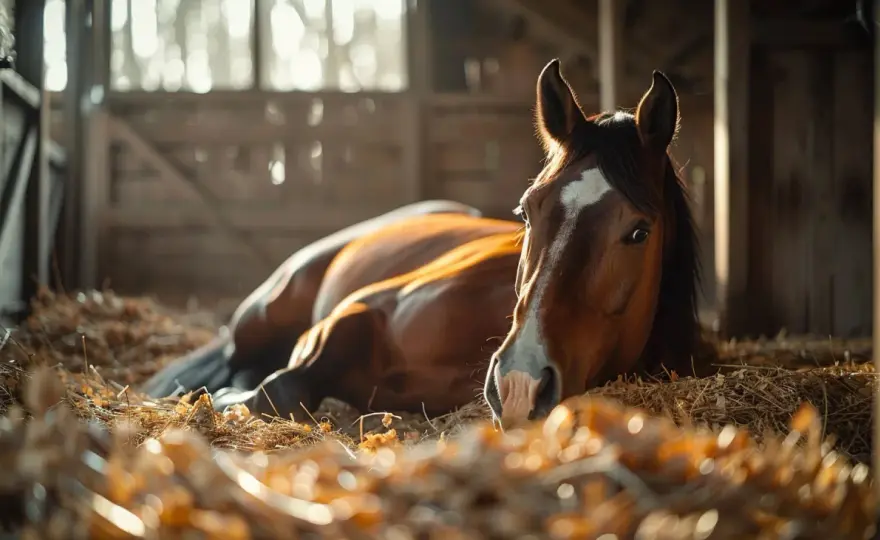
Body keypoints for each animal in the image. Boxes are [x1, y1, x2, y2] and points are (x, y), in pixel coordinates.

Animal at [140, 59, 702, 430]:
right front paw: (218, 399)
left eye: (638, 231)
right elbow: (277, 390)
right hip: (262, 319)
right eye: (526, 212)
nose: (520, 384)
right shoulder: (348, 316)